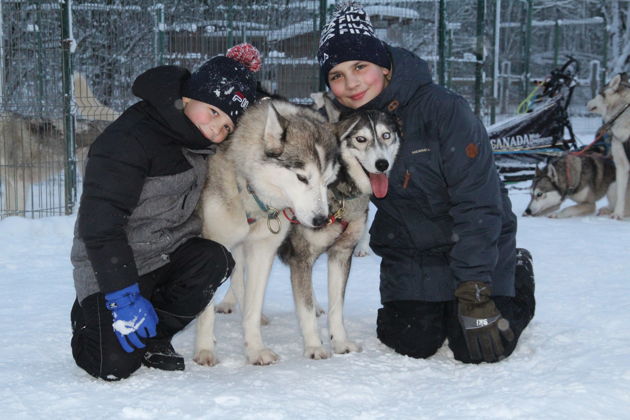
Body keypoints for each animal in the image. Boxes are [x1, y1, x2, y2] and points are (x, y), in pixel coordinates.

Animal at [196, 98, 344, 364]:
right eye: (302, 178)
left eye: (328, 181)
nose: (320, 219)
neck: (249, 191)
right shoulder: (215, 241)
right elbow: (206, 312)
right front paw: (204, 350)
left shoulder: (262, 250)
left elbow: (253, 307)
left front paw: (255, 349)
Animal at [278, 110, 402, 360]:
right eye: (360, 139)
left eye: (386, 135)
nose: (382, 164)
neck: (338, 191)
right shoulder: (301, 256)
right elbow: (304, 308)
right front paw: (314, 346)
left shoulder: (341, 254)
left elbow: (337, 305)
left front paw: (340, 342)